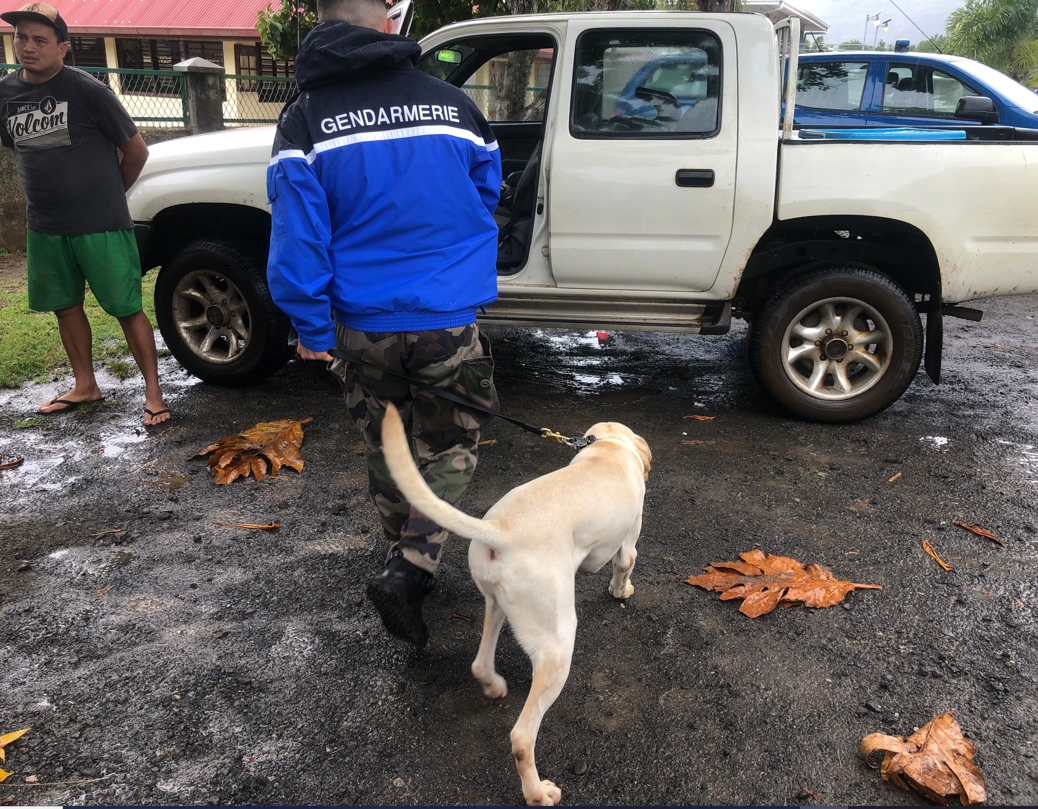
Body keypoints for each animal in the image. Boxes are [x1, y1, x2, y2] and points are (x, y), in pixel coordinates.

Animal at [379, 409, 647, 805]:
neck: (607, 449)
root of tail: (502, 529)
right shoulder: (629, 538)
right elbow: (623, 564)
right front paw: (621, 590)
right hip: (557, 645)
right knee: (522, 738)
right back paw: (538, 793)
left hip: (498, 605)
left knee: (480, 662)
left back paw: (493, 686)